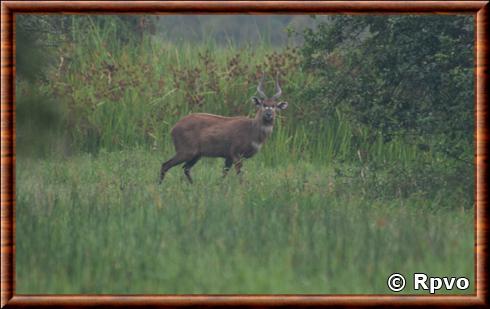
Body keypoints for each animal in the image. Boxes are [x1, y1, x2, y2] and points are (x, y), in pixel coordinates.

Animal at [159, 74, 288, 183]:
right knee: (166, 165)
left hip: (196, 154)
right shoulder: (235, 152)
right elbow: (240, 175)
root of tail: (173, 128)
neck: (252, 132)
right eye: (263, 104)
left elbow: (223, 174)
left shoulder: (228, 156)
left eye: (274, 106)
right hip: (186, 150)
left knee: (185, 168)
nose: (268, 114)